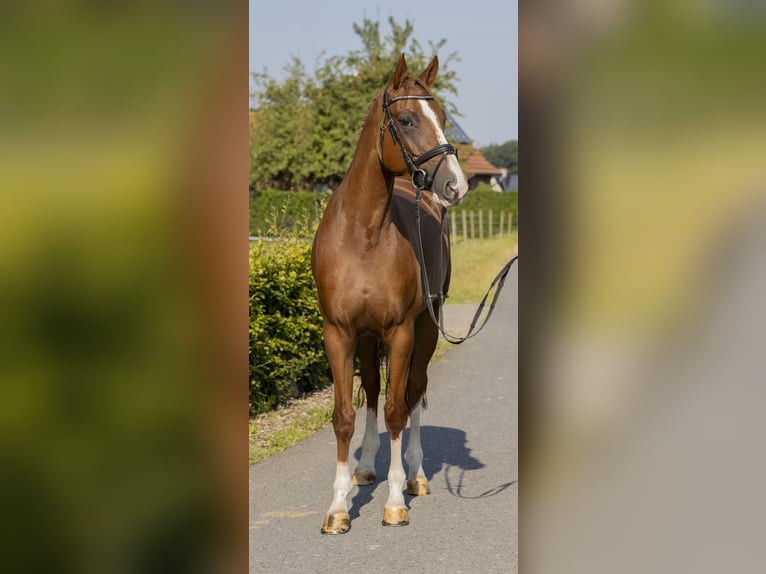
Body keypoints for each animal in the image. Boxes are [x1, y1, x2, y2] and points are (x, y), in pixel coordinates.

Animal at [310, 55, 468, 536]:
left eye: (444, 117)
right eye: (407, 119)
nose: (457, 185)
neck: (363, 234)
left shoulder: (400, 331)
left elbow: (399, 410)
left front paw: (395, 501)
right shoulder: (339, 333)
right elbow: (345, 415)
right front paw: (338, 507)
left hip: (426, 325)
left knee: (413, 390)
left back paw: (415, 475)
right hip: (366, 338)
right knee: (376, 390)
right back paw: (364, 467)